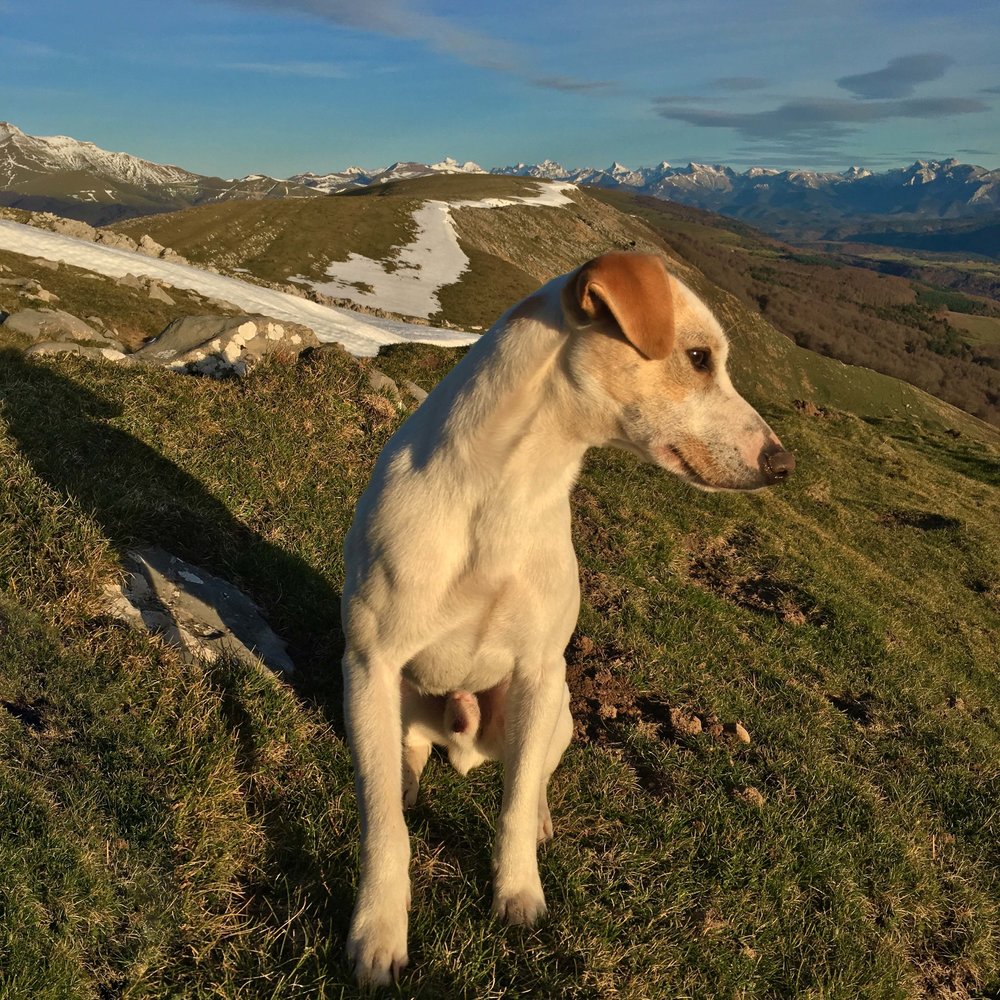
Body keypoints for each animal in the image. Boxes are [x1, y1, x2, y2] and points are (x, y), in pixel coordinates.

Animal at [340, 252, 792, 984]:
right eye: (699, 357)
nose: (783, 463)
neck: (506, 492)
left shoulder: (536, 671)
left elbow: (517, 801)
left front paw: (518, 892)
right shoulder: (369, 664)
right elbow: (383, 825)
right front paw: (378, 929)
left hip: (557, 706)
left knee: (534, 774)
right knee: (406, 757)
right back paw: (409, 777)